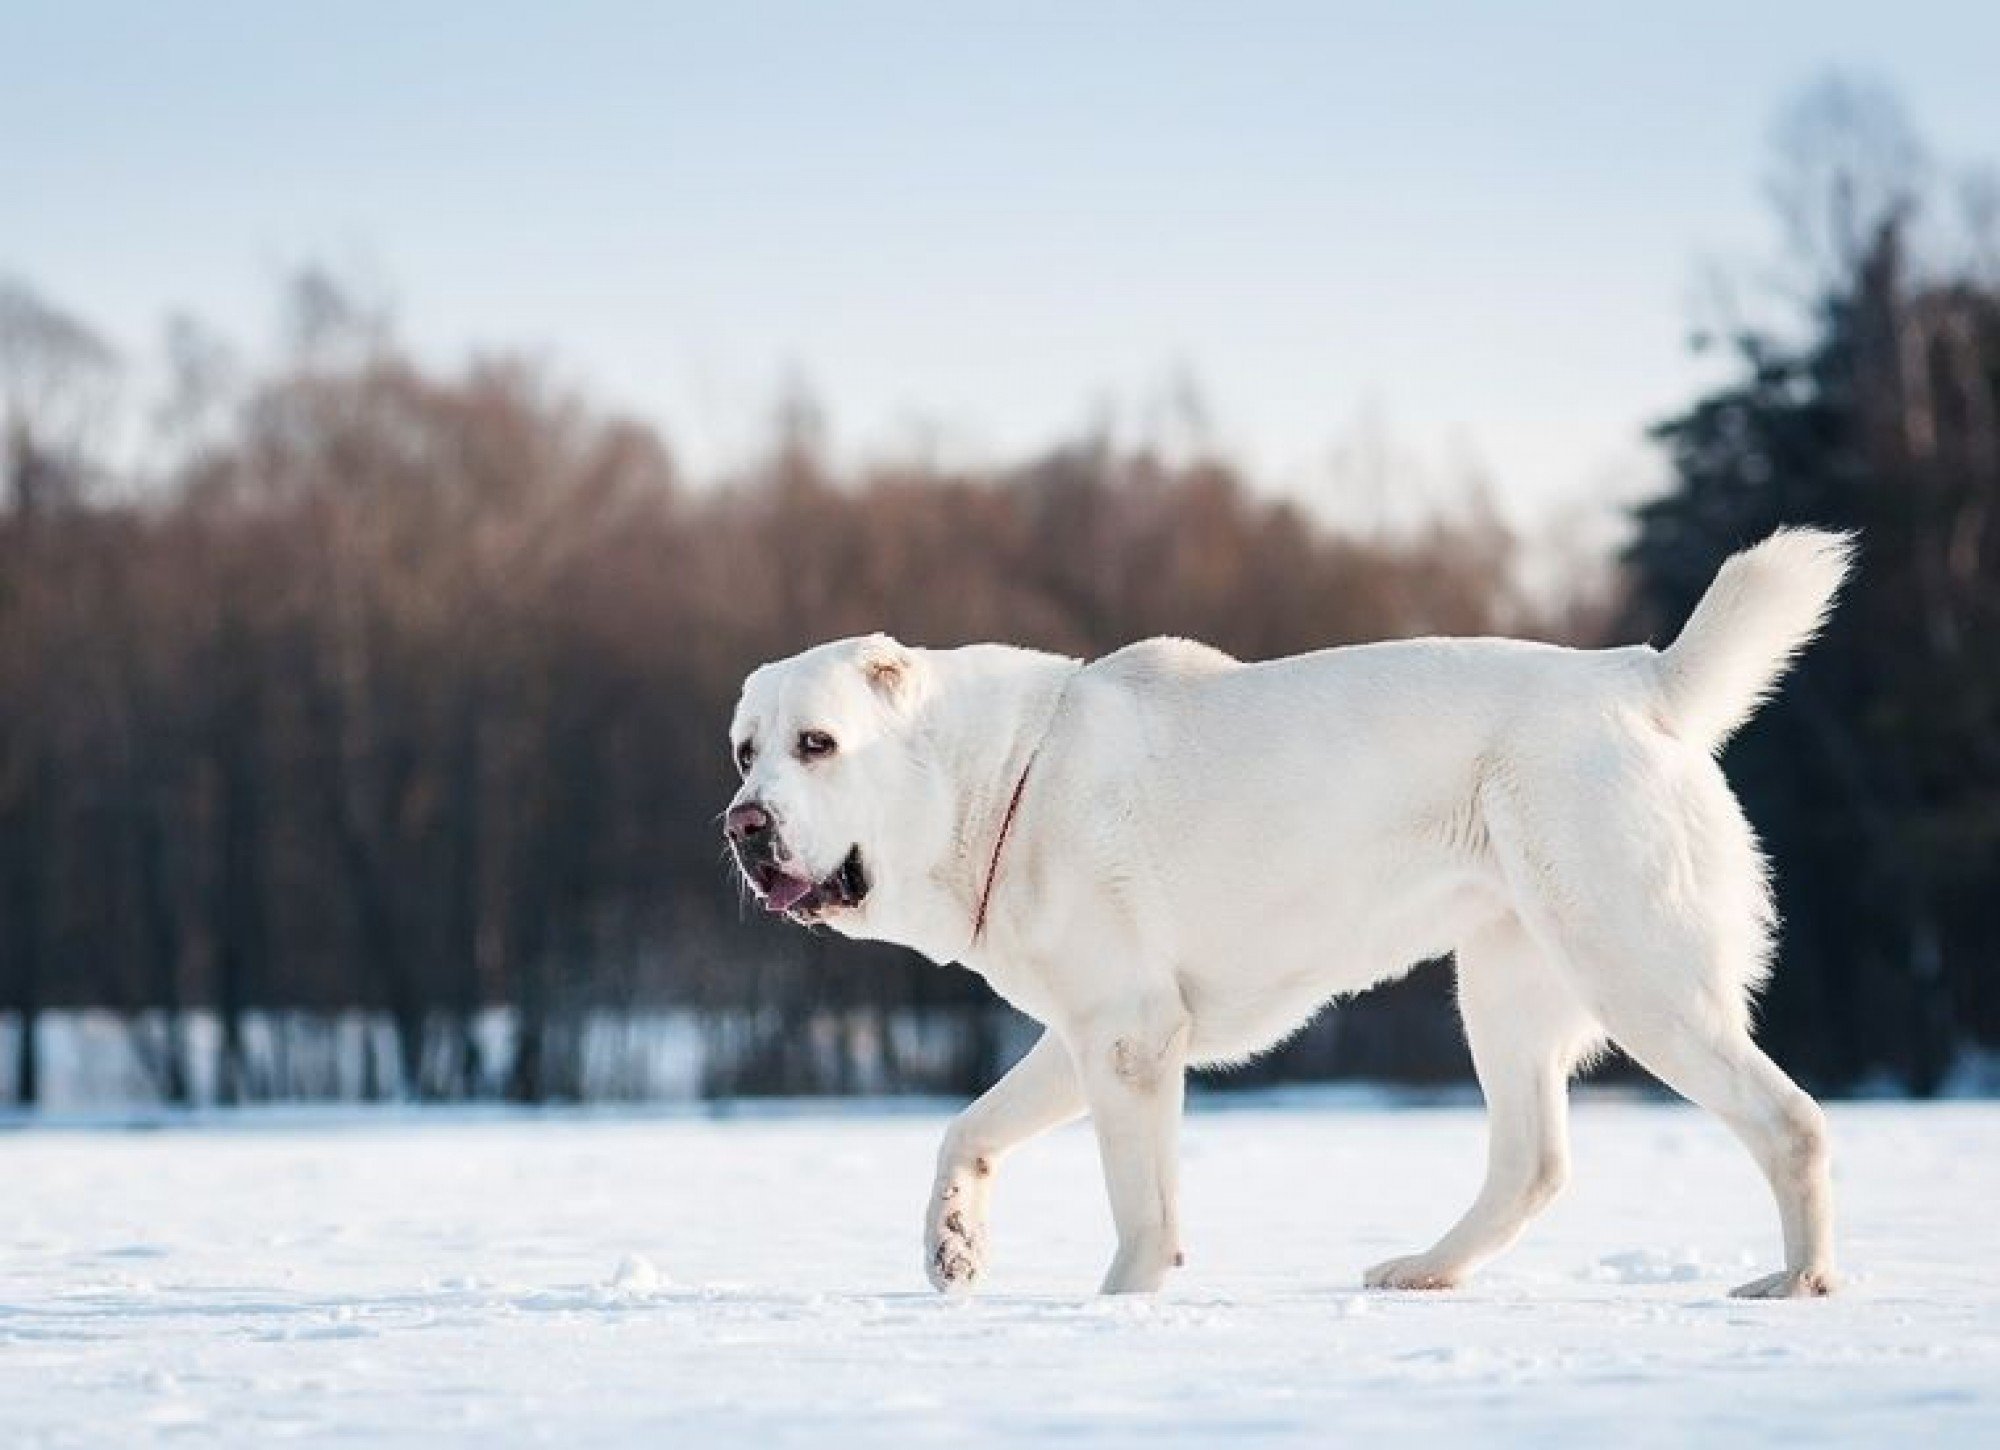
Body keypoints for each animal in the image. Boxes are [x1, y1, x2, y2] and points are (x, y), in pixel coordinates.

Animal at [728, 528, 1848, 1304]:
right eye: (746, 750)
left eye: (818, 743)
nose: (743, 823)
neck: (997, 781)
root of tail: (1638, 677)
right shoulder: (1097, 1028)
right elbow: (967, 1127)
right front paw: (952, 1244)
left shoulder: (1129, 1038)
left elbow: (1142, 1203)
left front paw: (1118, 1302)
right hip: (1506, 984)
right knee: (1531, 1163)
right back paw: (1426, 1268)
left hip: (1633, 967)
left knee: (1789, 1122)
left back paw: (1797, 1280)